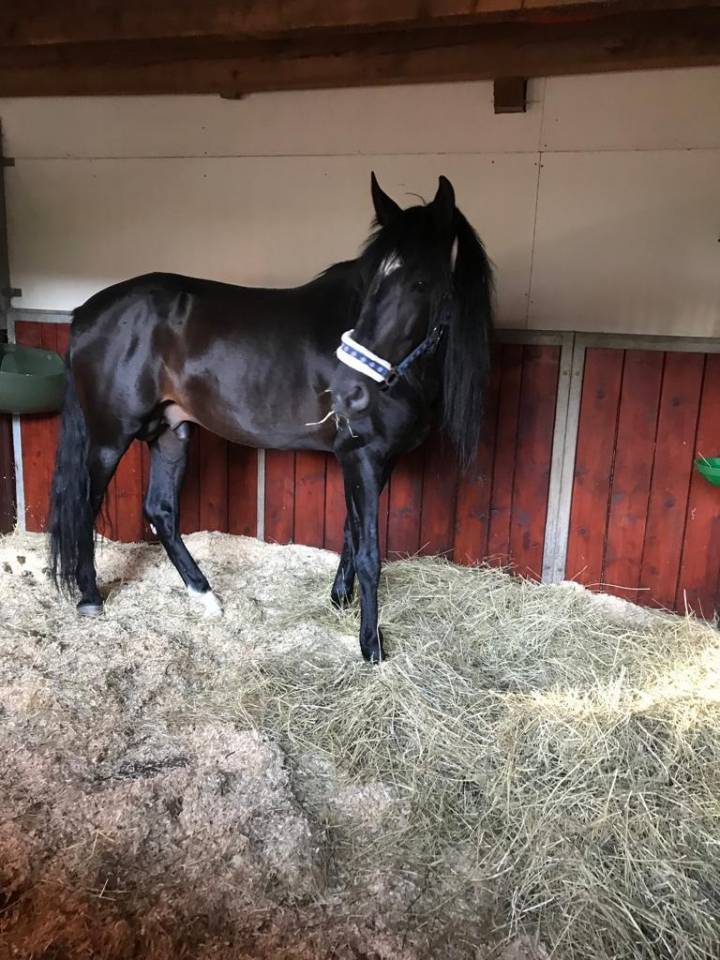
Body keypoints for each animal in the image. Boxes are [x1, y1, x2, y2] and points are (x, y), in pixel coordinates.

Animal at [49, 173, 493, 662]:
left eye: (420, 282)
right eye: (375, 280)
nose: (347, 392)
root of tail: (84, 314)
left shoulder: (377, 460)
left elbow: (350, 533)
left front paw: (339, 601)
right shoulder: (361, 454)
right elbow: (369, 552)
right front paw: (370, 645)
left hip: (170, 433)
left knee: (161, 511)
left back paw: (205, 596)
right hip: (110, 437)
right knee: (85, 506)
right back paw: (91, 599)